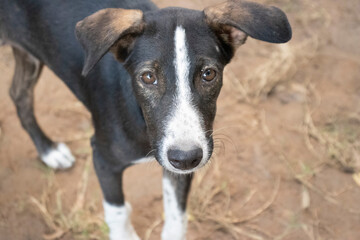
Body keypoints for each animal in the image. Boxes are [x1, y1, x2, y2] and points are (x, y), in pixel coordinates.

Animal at [0, 0, 290, 239]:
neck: (141, 119)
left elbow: (176, 220)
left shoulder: (180, 166)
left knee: (18, 94)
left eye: (208, 74)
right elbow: (118, 214)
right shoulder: (104, 159)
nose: (186, 157)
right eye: (148, 77)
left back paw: (48, 150)